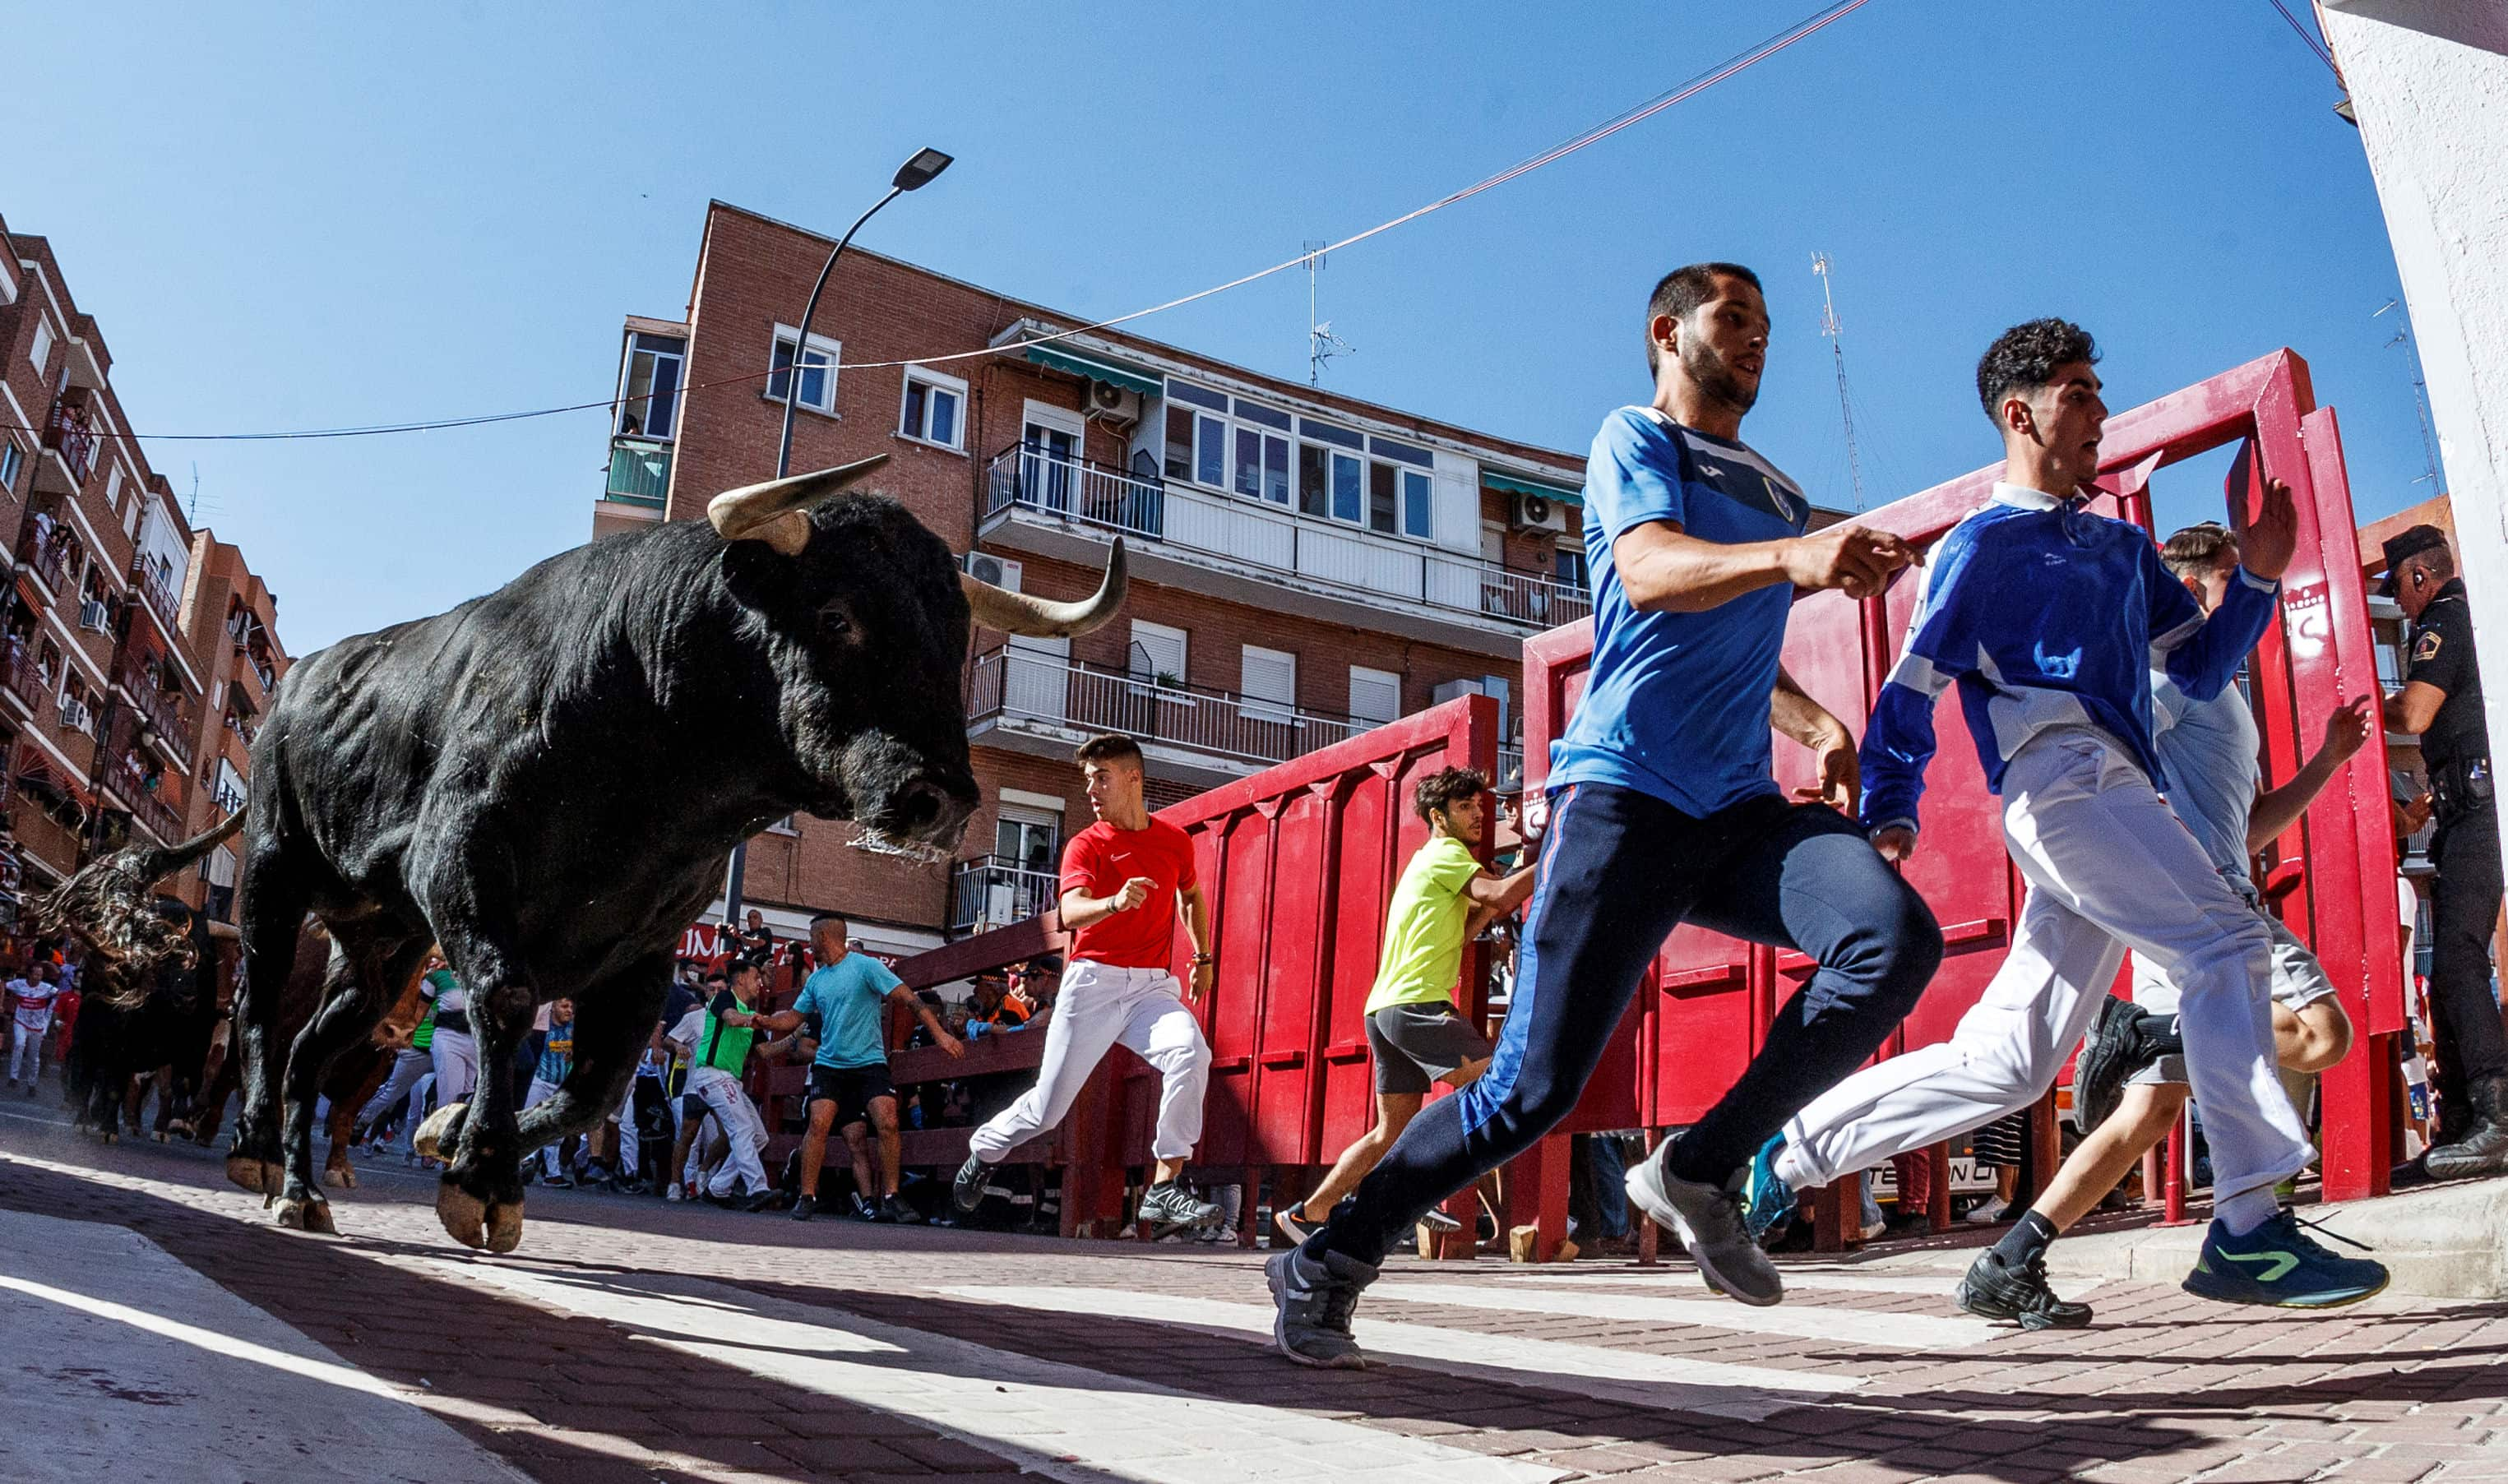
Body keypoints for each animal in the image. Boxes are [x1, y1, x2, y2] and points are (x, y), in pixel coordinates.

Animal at [211, 458, 1123, 1248]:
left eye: (956, 638)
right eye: (837, 616)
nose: (943, 797)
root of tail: (305, 674)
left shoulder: (644, 946)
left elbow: (597, 1084)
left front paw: (450, 1132)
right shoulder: (458, 861)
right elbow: (508, 1001)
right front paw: (482, 1179)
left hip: (382, 942)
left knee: (313, 1046)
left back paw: (303, 1189)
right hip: (274, 871)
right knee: (257, 1001)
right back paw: (254, 1147)